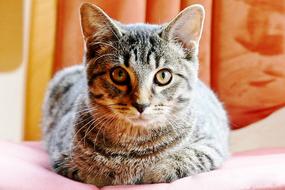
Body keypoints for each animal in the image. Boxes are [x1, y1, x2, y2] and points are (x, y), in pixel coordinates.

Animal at [41, 2, 229, 187]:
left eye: (163, 75)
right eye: (119, 74)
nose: (141, 104)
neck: (133, 144)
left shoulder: (212, 145)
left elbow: (185, 158)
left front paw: (154, 171)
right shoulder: (61, 156)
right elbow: (91, 173)